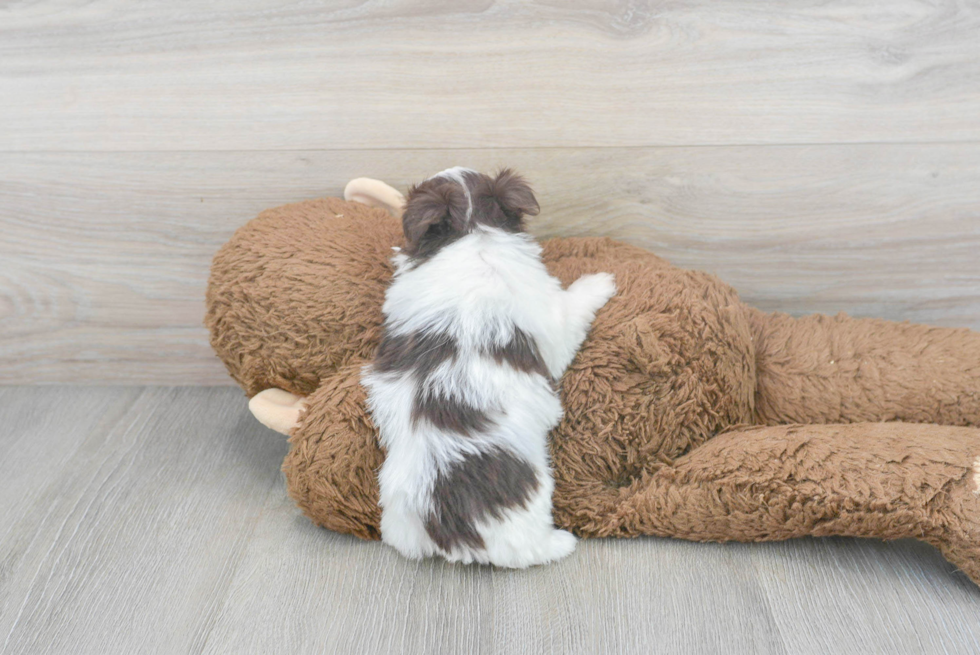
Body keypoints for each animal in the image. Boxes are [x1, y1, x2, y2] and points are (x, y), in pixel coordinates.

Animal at [364, 167, 616, 568]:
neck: (472, 231)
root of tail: (447, 526)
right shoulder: (552, 324)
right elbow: (574, 307)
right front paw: (600, 282)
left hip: (397, 520)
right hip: (525, 513)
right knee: (527, 551)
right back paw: (560, 543)